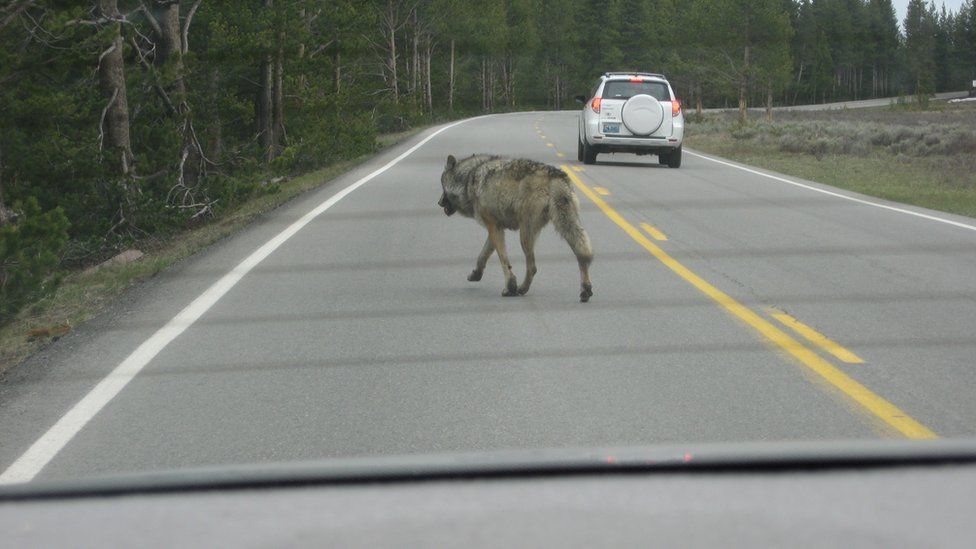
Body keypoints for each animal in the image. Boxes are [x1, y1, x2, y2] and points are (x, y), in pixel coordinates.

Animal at [436, 153, 592, 300]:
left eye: (442, 186)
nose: (438, 202)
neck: (469, 177)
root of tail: (555, 175)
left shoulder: (494, 227)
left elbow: (504, 260)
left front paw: (510, 287)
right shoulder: (495, 228)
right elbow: (482, 256)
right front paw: (475, 275)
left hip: (525, 236)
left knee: (532, 267)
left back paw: (522, 289)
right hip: (566, 226)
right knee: (582, 254)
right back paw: (585, 290)